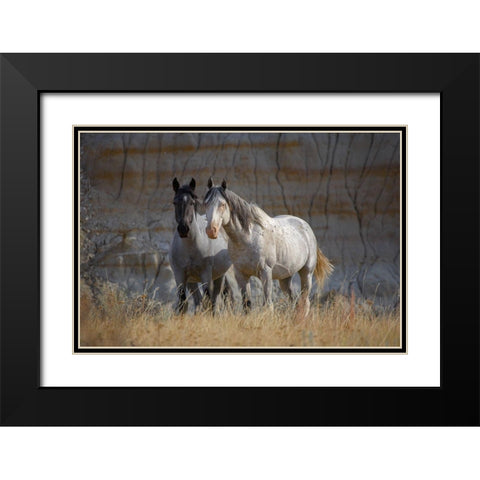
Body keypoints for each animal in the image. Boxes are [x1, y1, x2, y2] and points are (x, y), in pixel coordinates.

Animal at [169, 178, 236, 314]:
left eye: (192, 202)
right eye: (175, 202)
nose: (183, 229)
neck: (190, 248)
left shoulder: (206, 276)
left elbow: (209, 301)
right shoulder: (180, 276)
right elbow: (182, 304)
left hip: (220, 276)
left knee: (215, 301)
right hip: (192, 281)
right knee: (199, 301)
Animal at [203, 178, 334, 316]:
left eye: (222, 204)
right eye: (205, 203)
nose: (211, 230)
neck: (248, 238)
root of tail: (306, 226)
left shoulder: (265, 272)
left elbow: (268, 305)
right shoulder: (241, 275)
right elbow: (247, 305)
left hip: (306, 273)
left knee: (305, 302)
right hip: (285, 279)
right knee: (294, 301)